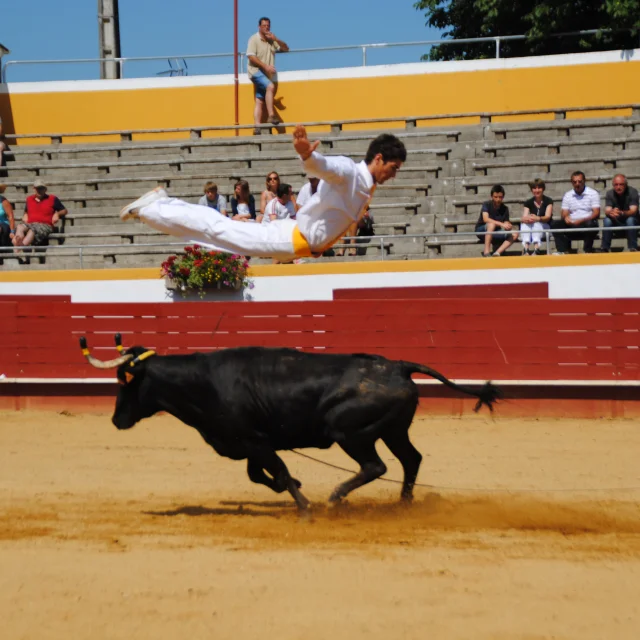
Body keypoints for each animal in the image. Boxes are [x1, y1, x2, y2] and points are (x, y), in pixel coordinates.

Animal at [80, 338, 500, 512]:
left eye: (126, 383)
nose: (117, 419)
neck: (203, 381)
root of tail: (397, 365)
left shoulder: (255, 441)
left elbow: (276, 470)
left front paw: (304, 505)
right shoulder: (249, 443)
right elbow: (260, 475)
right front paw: (294, 486)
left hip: (350, 433)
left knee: (375, 465)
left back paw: (335, 497)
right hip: (394, 429)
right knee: (411, 460)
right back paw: (404, 503)